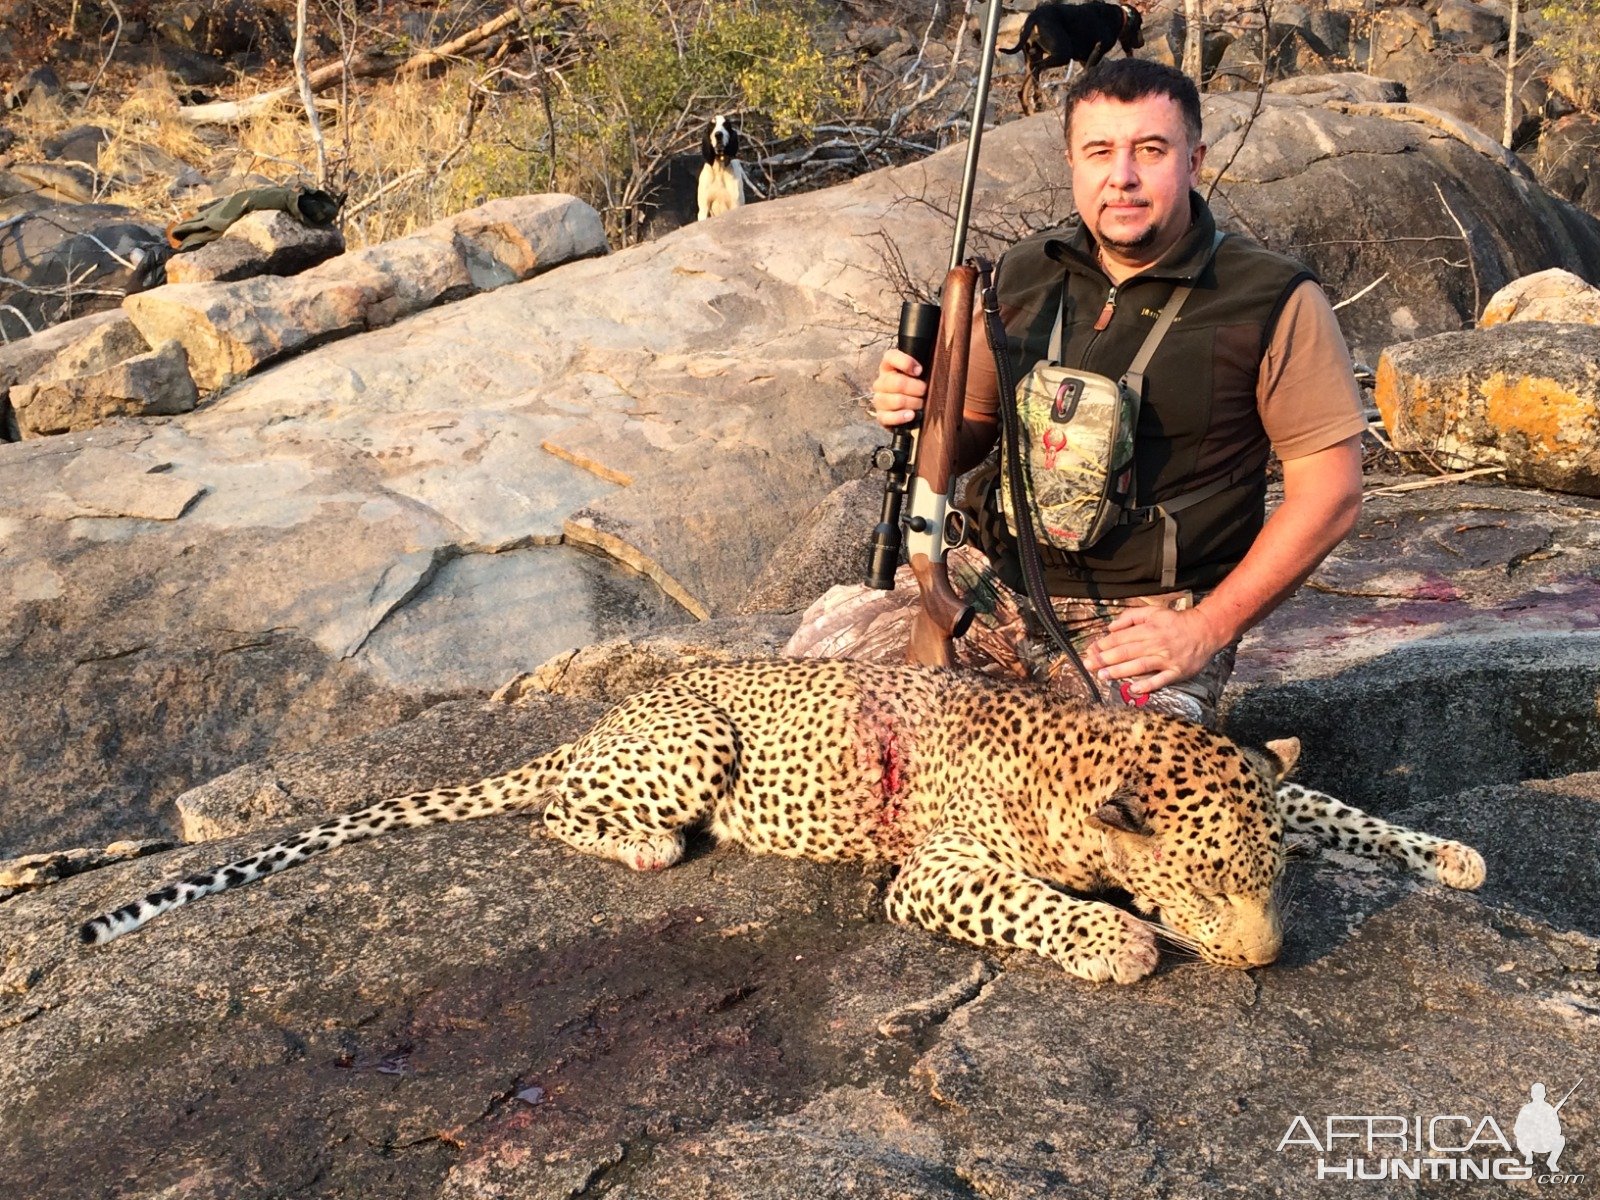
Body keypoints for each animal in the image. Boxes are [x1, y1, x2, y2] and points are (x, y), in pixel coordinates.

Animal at [1004, 2, 1145, 115]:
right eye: (1139, 25)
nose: (1142, 43)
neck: (1121, 16)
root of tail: (1033, 17)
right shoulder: (1097, 52)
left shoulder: (1084, 59)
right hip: (1062, 54)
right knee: (1037, 68)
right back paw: (1037, 98)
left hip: (1034, 56)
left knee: (1023, 89)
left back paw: (1030, 109)